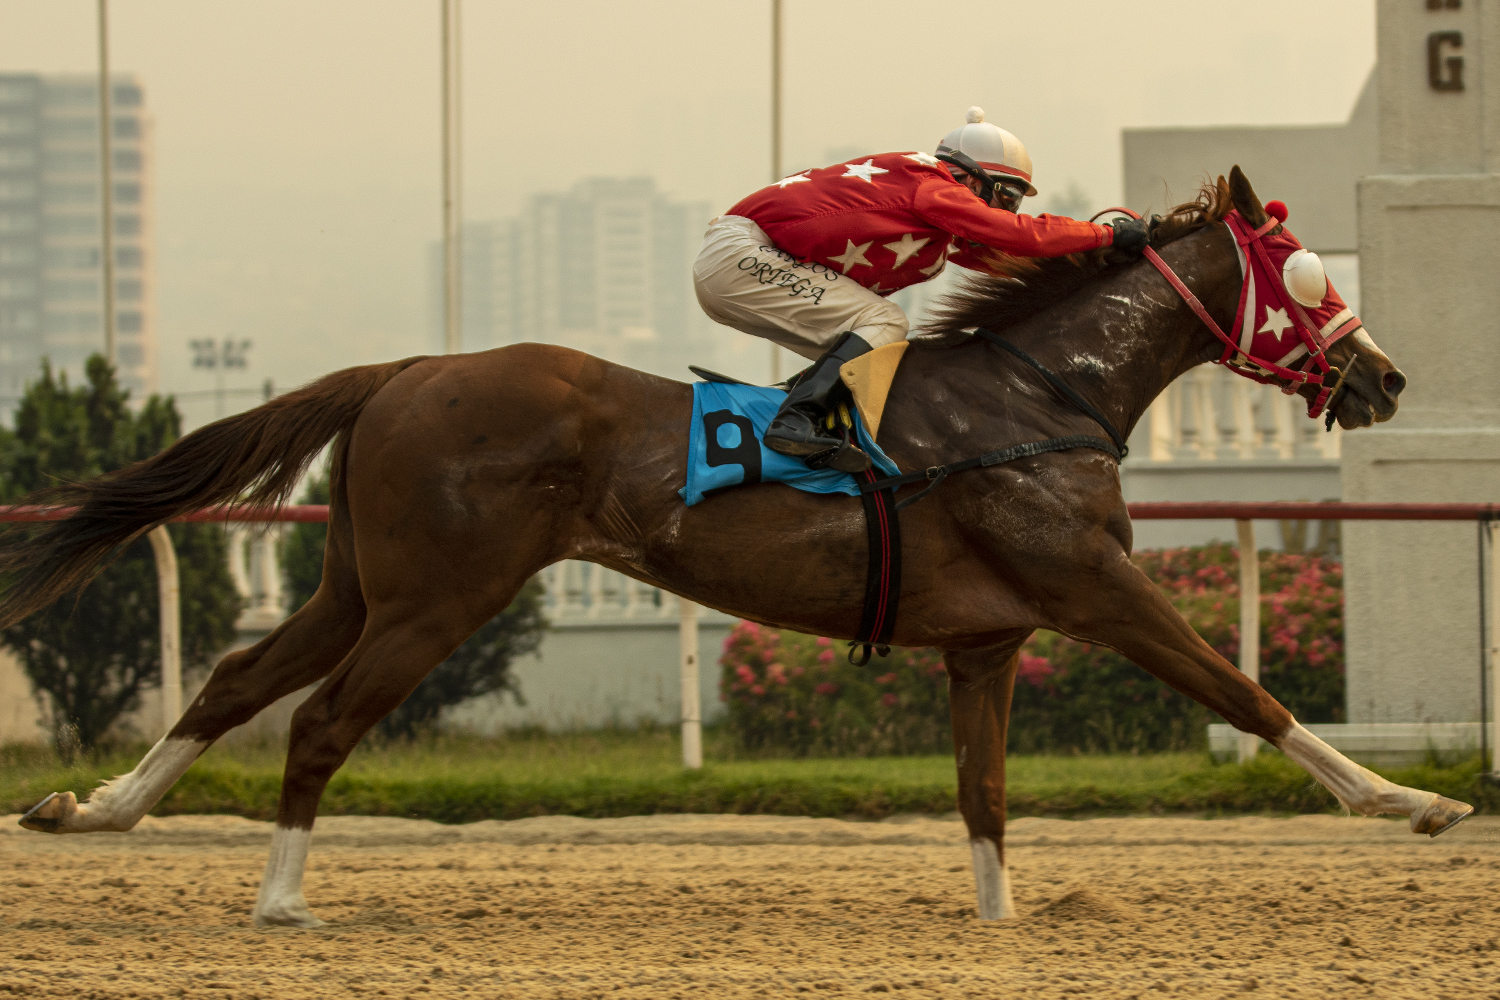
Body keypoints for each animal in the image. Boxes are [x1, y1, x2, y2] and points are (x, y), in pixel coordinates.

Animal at [6, 166, 1471, 928]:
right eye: (1309, 279)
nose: (1390, 380)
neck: (1039, 396)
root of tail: (408, 367)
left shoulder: (988, 641)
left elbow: (985, 797)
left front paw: (999, 919)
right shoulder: (1094, 585)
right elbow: (1248, 694)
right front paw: (1413, 801)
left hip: (365, 578)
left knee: (235, 680)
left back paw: (99, 808)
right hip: (440, 596)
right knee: (316, 723)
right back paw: (277, 899)